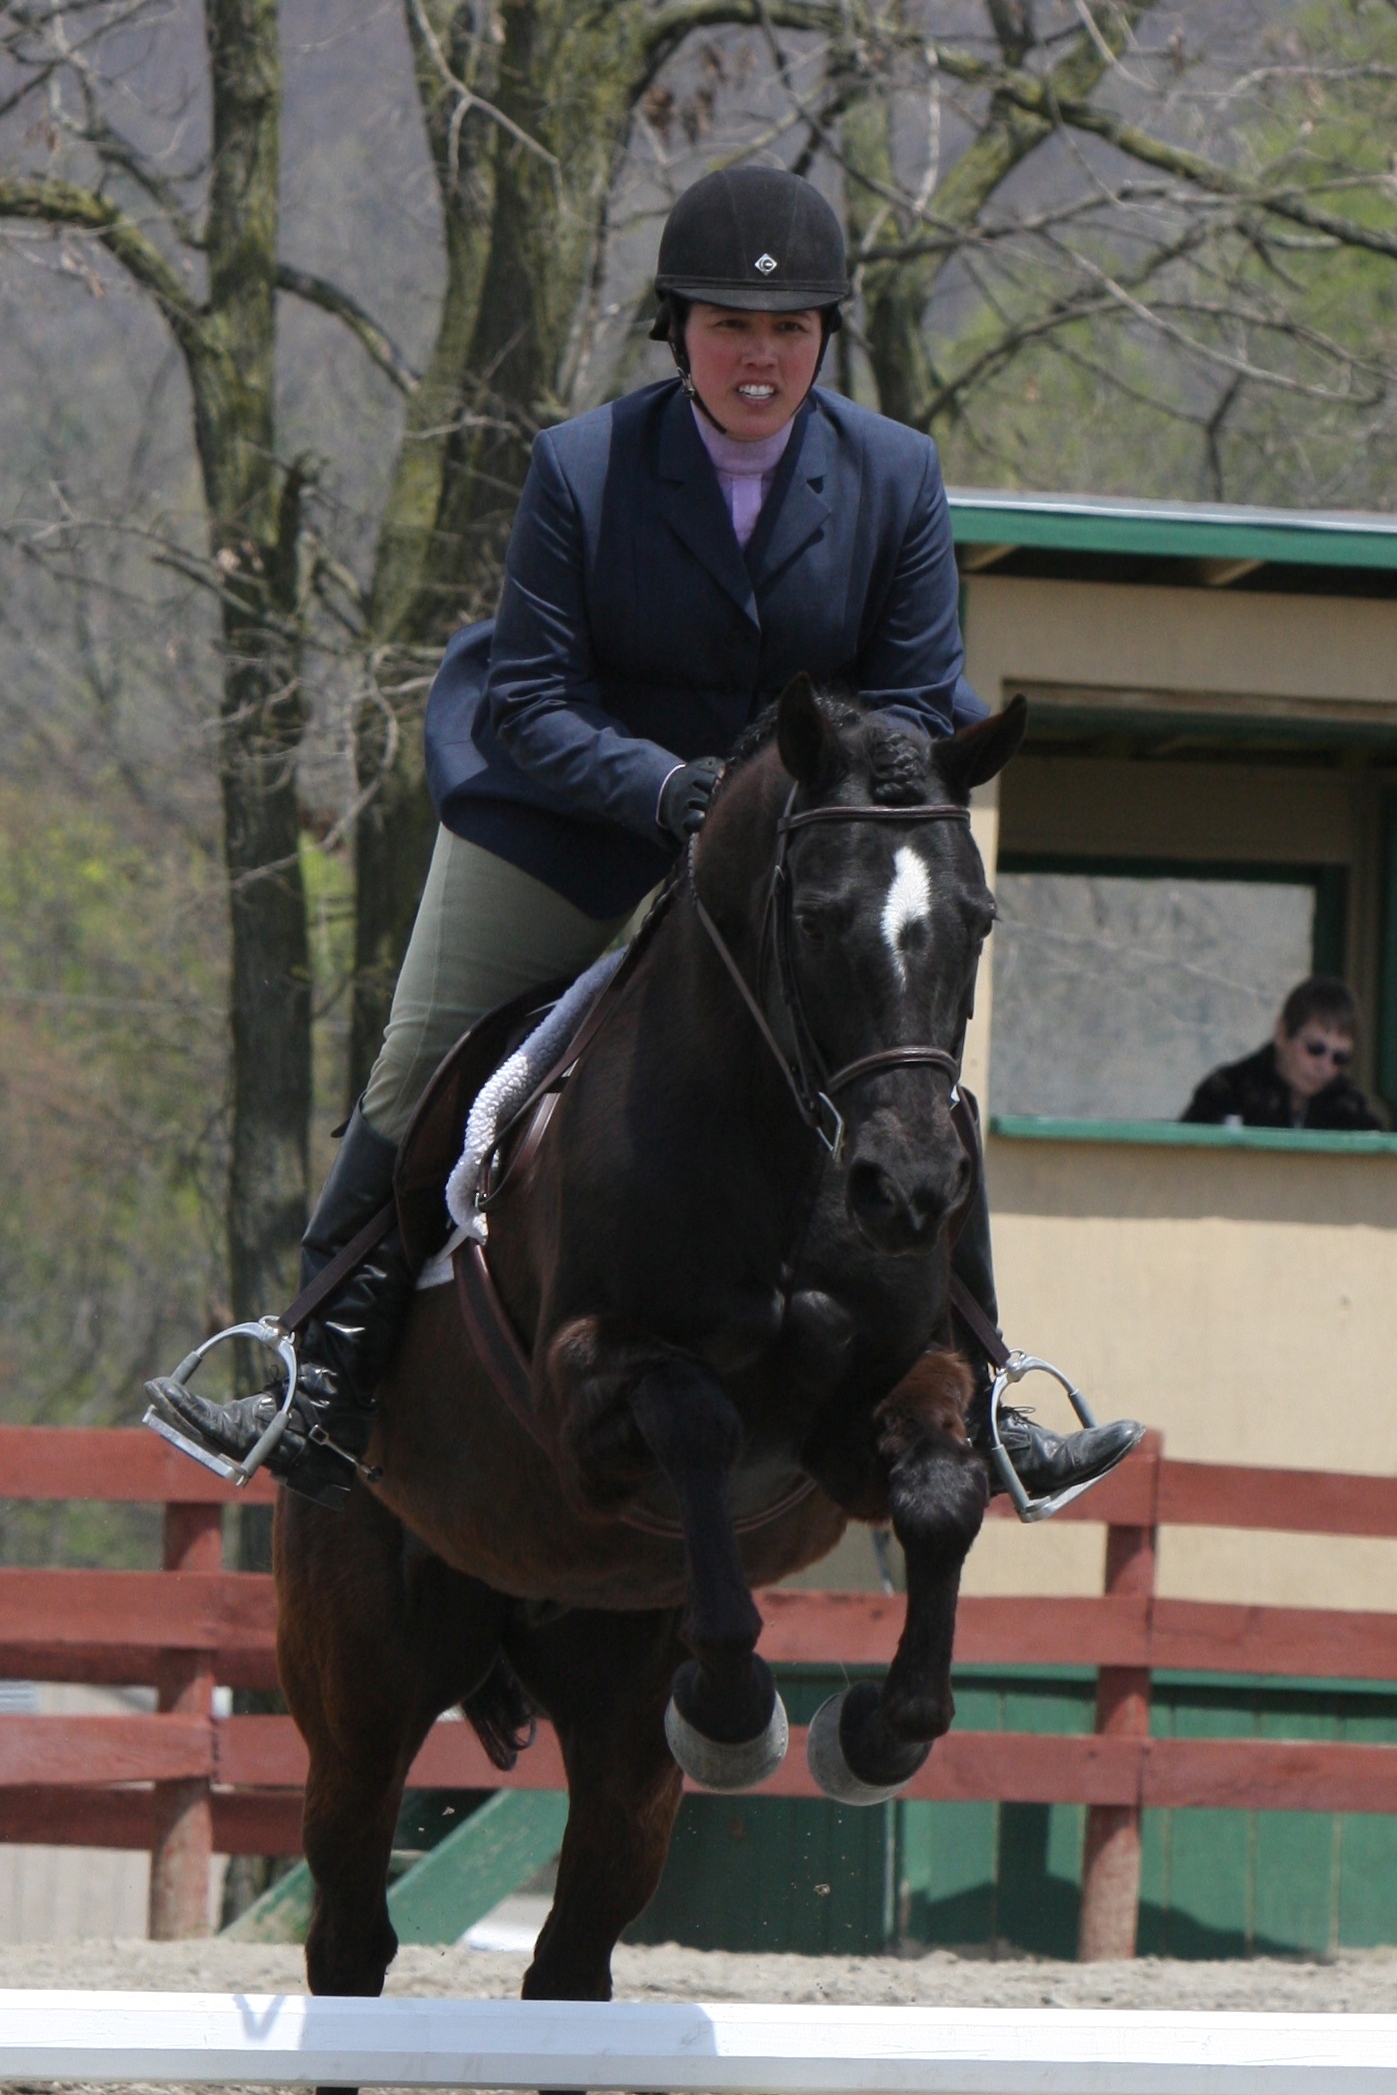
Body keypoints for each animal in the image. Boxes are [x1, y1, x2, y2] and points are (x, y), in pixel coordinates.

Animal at [276, 674, 1026, 2010]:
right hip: (361, 1686)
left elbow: (938, 1490)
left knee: (573, 1954)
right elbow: (695, 1419)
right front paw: (732, 1706)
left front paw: (878, 1733)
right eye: (816, 916)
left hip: (616, 1727)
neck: (783, 1151)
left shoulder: (874, 1411)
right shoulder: (580, 1396)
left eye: (976, 922)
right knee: (351, 1930)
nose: (909, 1191)